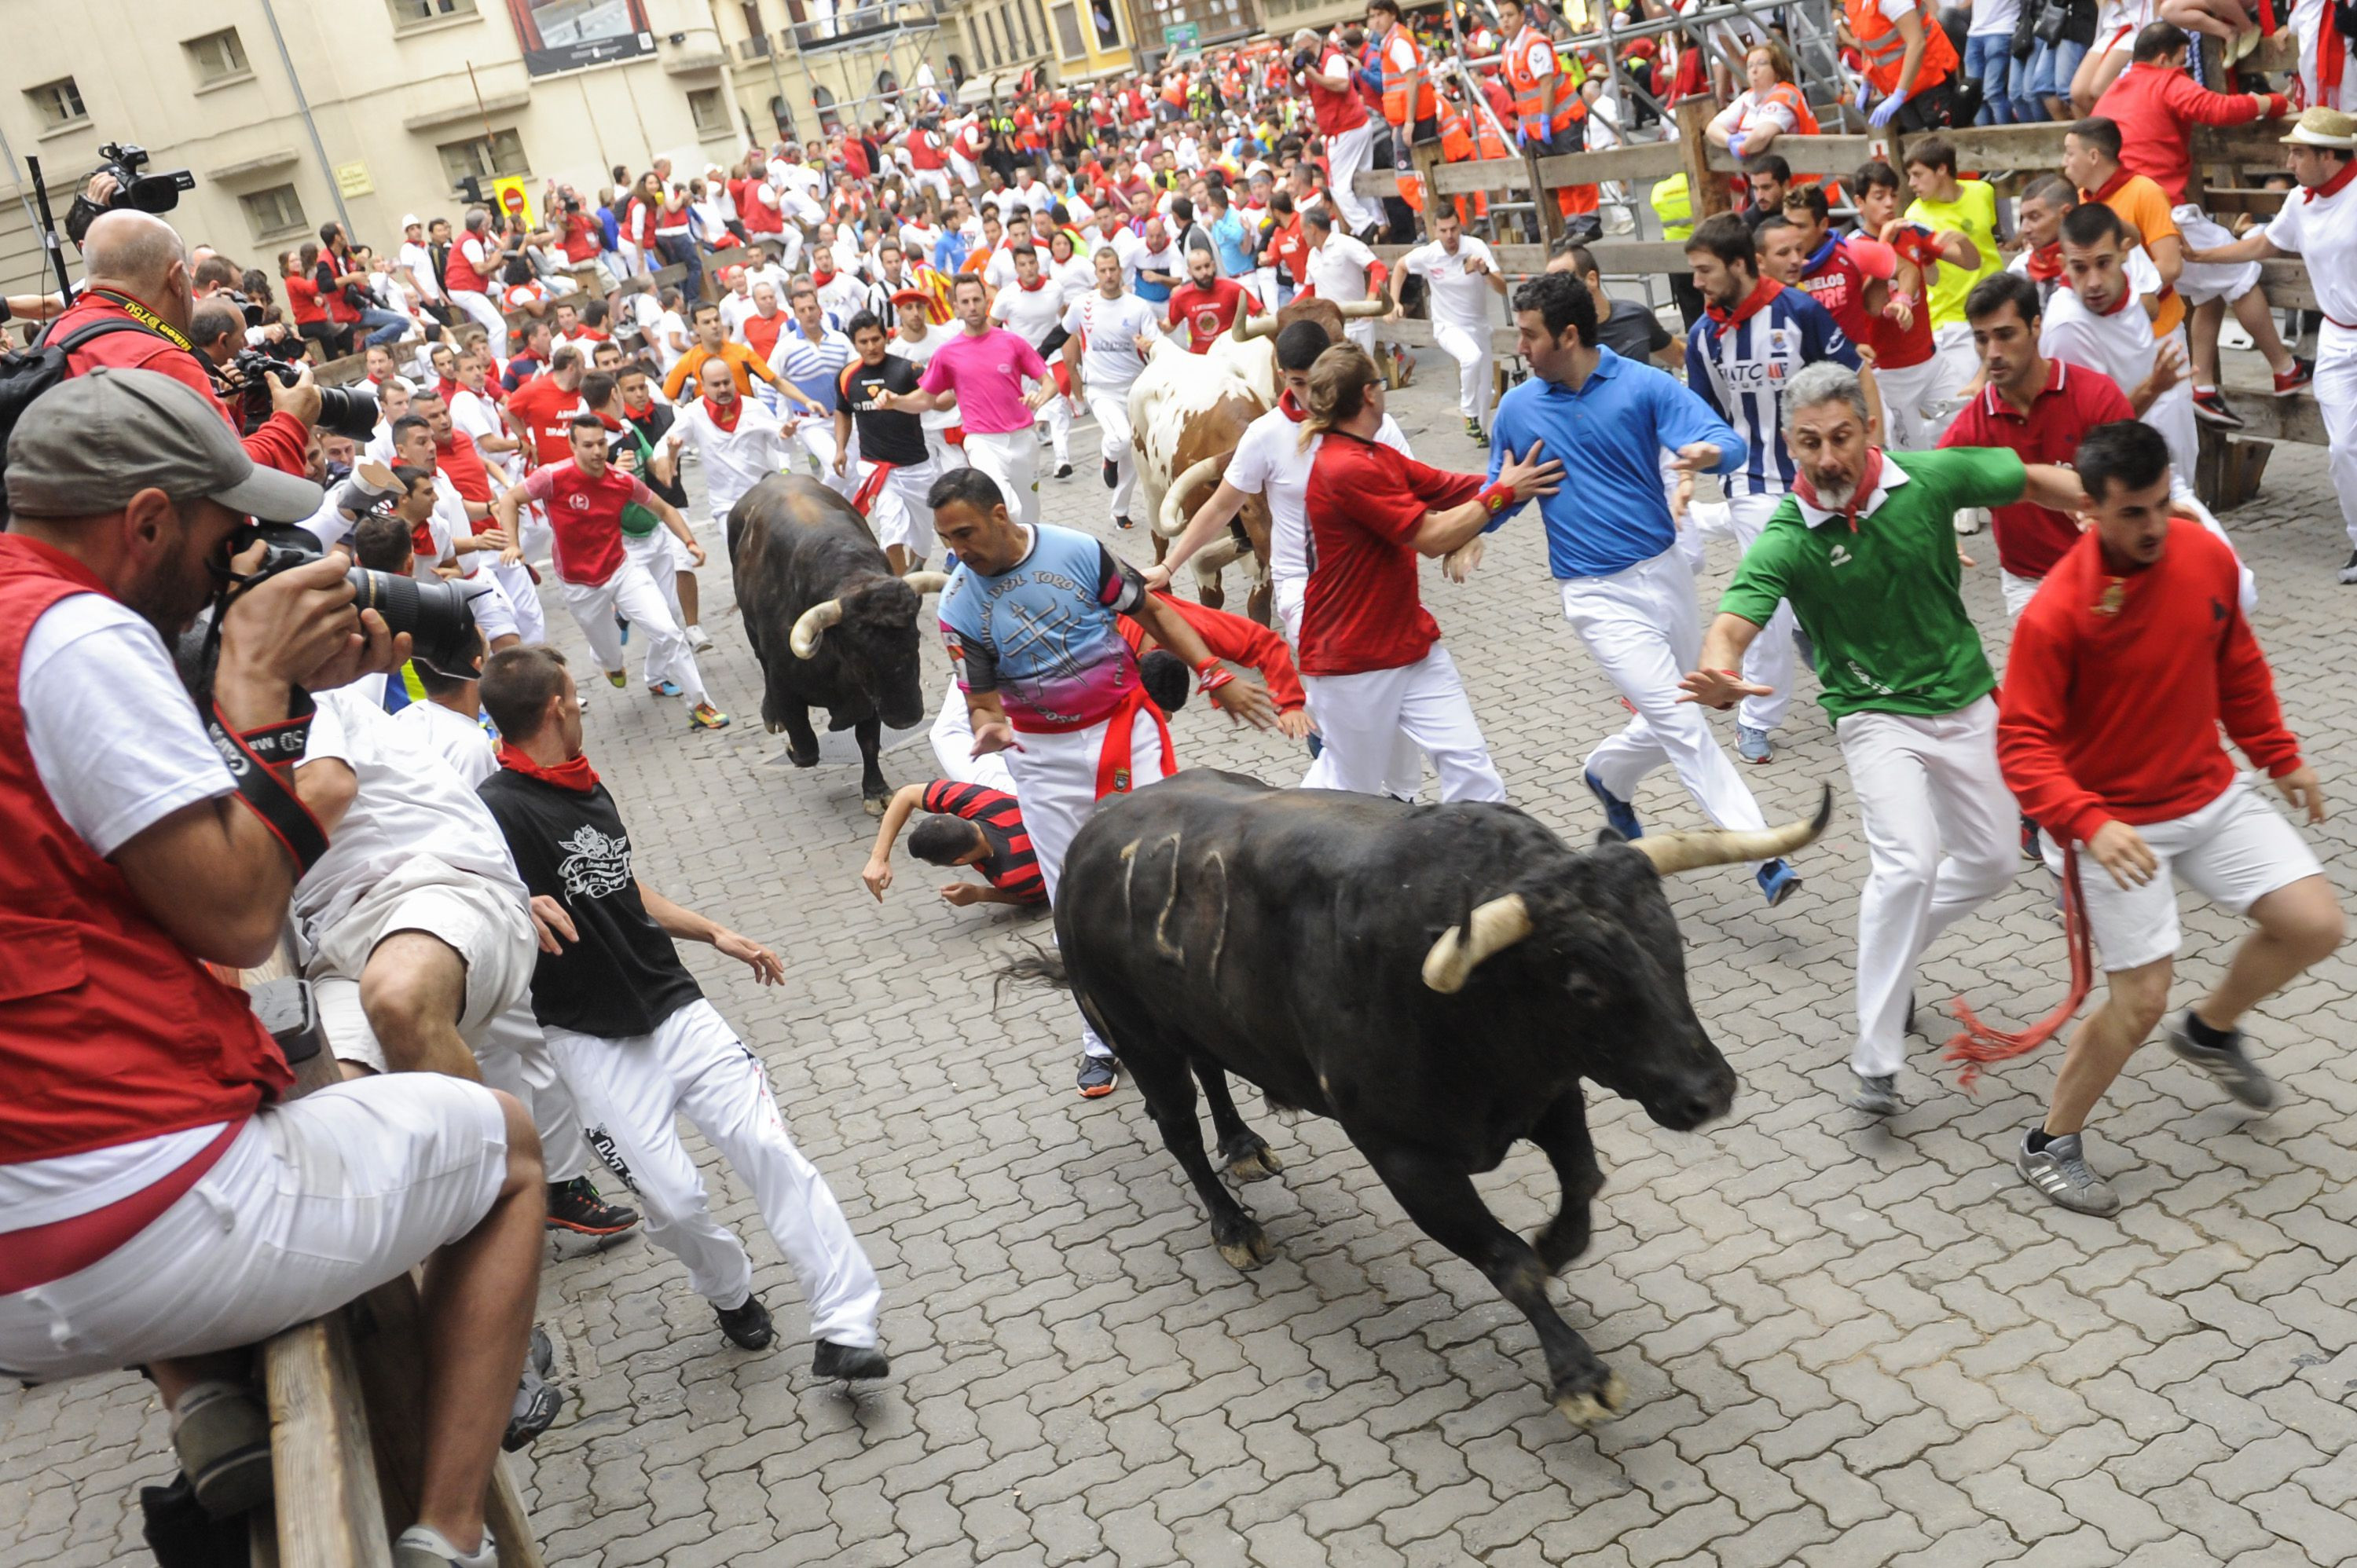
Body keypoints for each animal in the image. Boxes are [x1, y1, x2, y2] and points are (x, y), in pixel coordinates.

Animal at [721, 474, 943, 820]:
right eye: (858, 652)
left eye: (915, 637)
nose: (906, 718)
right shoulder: (785, 684)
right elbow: (807, 748)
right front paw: (791, 748)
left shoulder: (867, 698)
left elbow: (868, 740)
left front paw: (876, 791)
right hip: (751, 632)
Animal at [1004, 764, 1829, 1423]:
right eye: (1582, 984)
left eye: (1671, 942)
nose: (1709, 1092)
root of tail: (1094, 835)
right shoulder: (1405, 1155)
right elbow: (1504, 1259)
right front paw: (1578, 1375)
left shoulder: (1552, 1090)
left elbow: (1583, 1185)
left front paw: (1556, 1247)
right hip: (1140, 1038)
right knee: (1177, 1128)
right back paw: (1233, 1226)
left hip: (1201, 1016)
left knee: (1213, 1072)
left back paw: (1243, 1145)